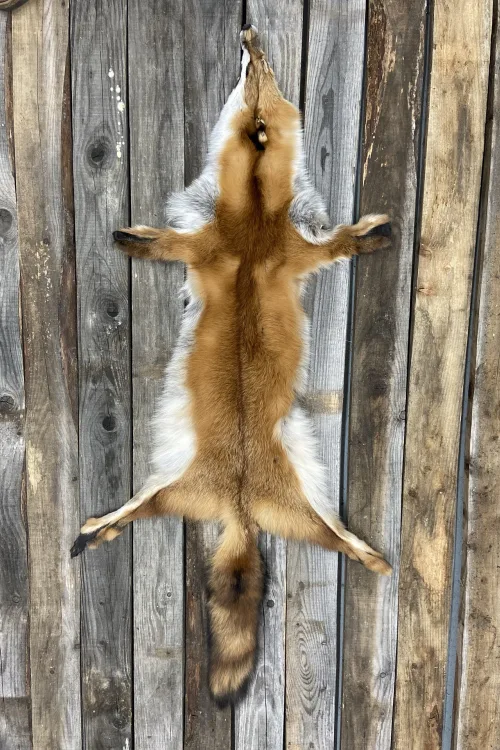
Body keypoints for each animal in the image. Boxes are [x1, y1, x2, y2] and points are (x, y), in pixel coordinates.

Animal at [71, 25, 392, 703]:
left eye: (259, 74)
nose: (249, 32)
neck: (253, 216)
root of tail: (239, 504)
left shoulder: (242, 245)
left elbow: (337, 241)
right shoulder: (260, 246)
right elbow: (331, 242)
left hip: (288, 502)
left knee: (340, 542)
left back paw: (372, 557)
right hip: (183, 491)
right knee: (129, 517)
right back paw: (94, 529)